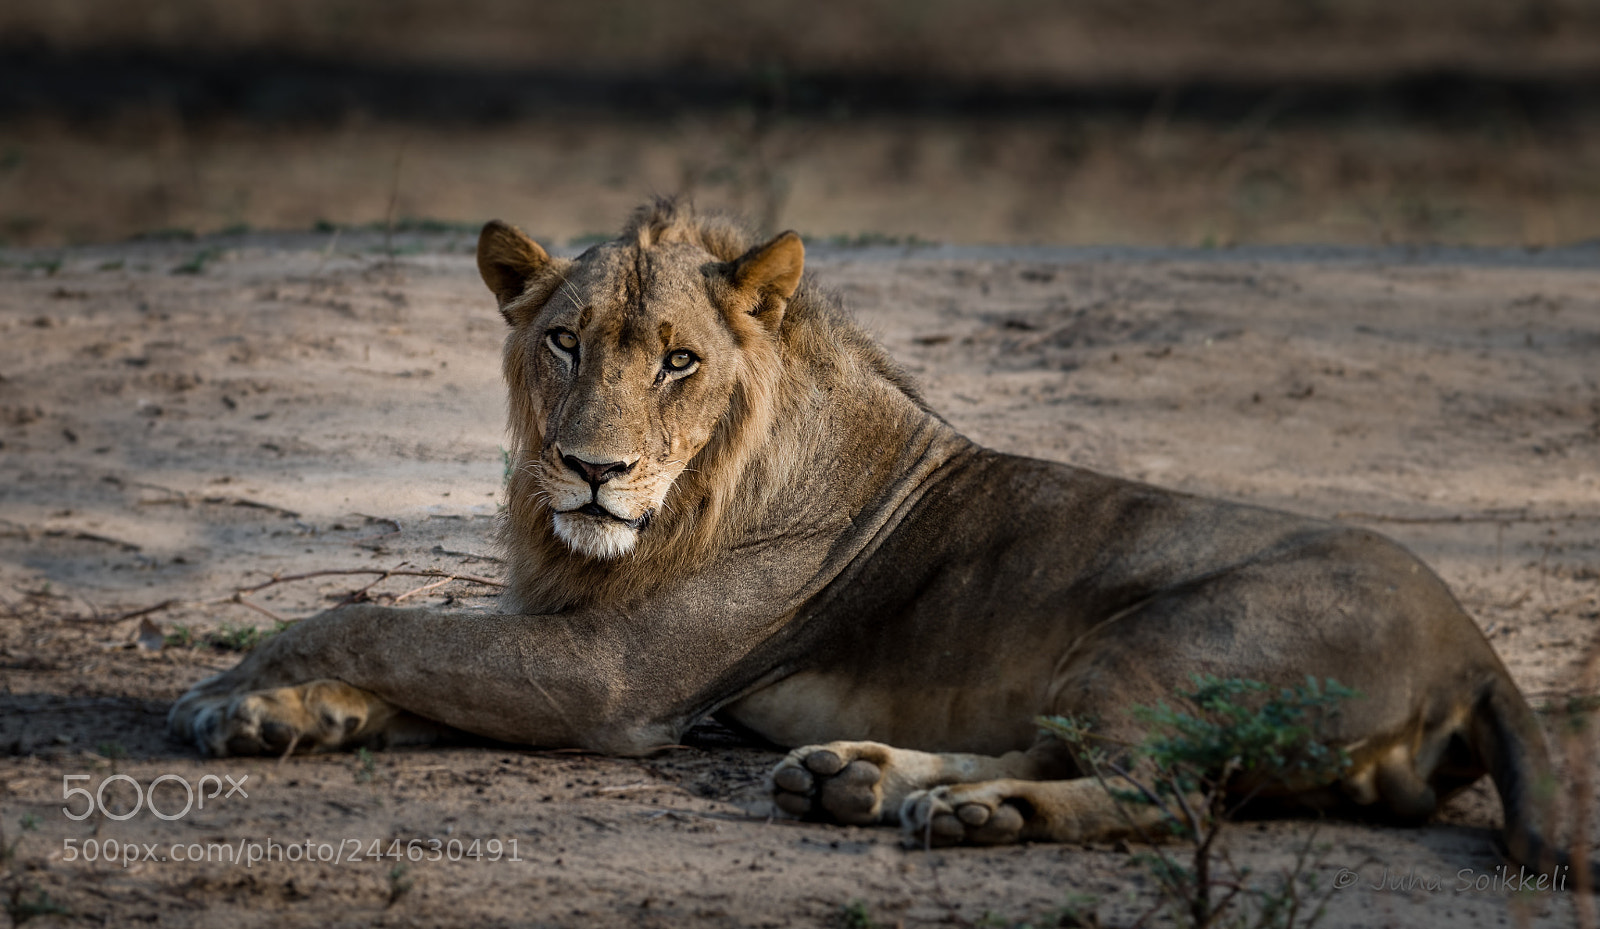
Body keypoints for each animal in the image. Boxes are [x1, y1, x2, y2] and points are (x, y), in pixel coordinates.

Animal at [169, 199, 1590, 877]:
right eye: (563, 340)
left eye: (678, 360)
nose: (592, 469)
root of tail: (1478, 647)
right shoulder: (560, 638)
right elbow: (412, 657)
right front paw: (287, 716)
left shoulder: (612, 681)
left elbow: (374, 618)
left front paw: (224, 694)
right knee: (1088, 755)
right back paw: (858, 778)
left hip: (1162, 637)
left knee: (1168, 790)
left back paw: (968, 815)